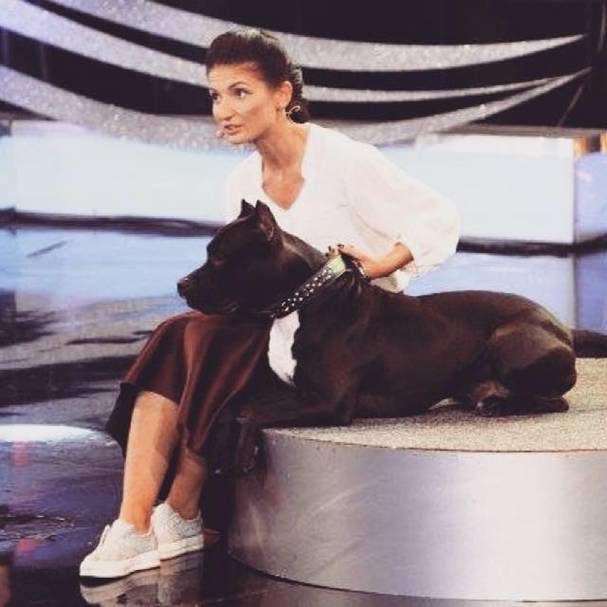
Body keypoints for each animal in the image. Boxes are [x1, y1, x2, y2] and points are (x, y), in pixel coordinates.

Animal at [178, 200, 607, 473]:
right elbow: (235, 405)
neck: (302, 300)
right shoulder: (285, 388)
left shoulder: (329, 402)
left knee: (554, 401)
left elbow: (249, 411)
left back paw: (500, 404)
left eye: (219, 258)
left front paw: (240, 454)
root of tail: (560, 324)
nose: (181, 284)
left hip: (510, 339)